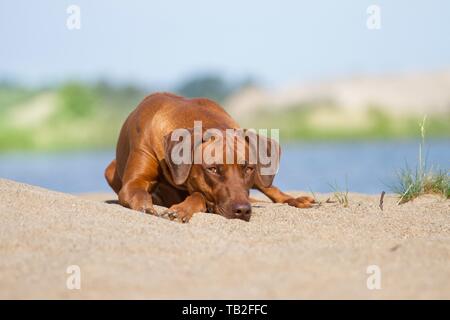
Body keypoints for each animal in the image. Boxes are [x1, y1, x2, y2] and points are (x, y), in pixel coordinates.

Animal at [105, 93, 312, 222]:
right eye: (212, 169)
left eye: (248, 168)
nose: (243, 210)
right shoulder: (133, 182)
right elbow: (139, 192)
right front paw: (147, 207)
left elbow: (198, 196)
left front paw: (181, 209)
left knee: (269, 187)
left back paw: (296, 200)